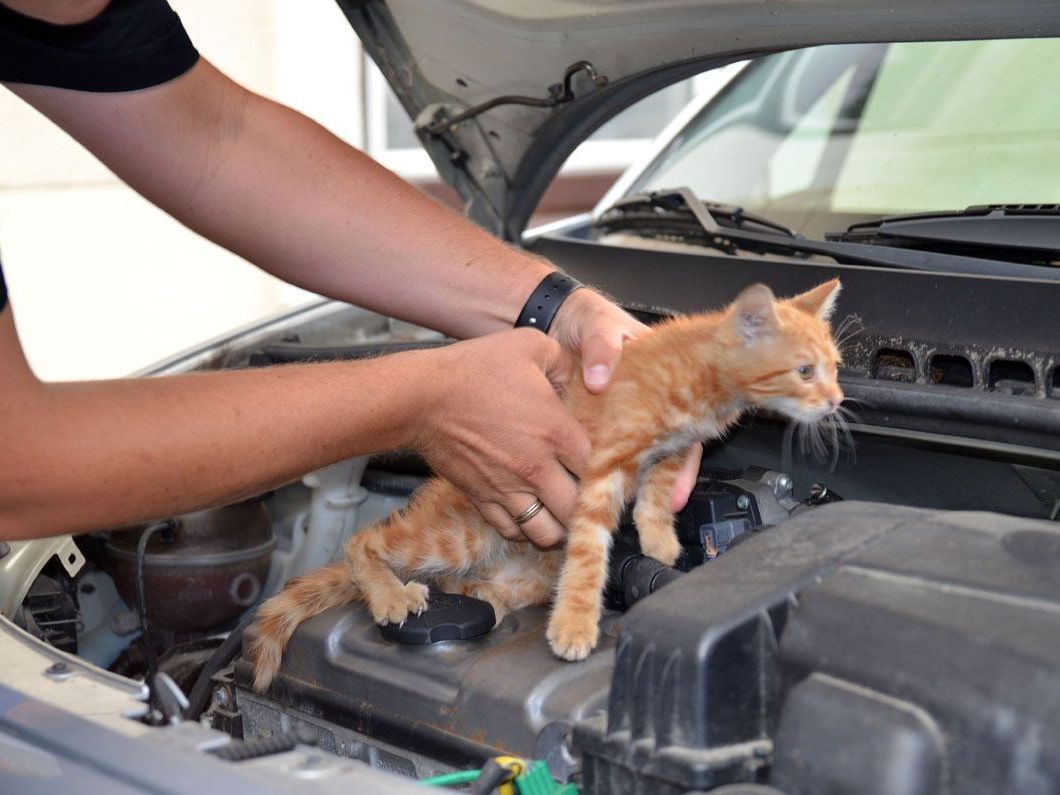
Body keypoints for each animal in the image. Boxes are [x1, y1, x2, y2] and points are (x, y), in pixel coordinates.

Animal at [245, 281, 843, 691]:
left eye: (836, 366)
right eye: (805, 371)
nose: (838, 400)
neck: (696, 375)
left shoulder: (672, 453)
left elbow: (658, 493)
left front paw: (659, 540)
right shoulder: (597, 475)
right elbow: (588, 558)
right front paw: (575, 627)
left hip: (517, 574)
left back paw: (480, 592)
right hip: (455, 535)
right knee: (364, 541)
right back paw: (391, 593)